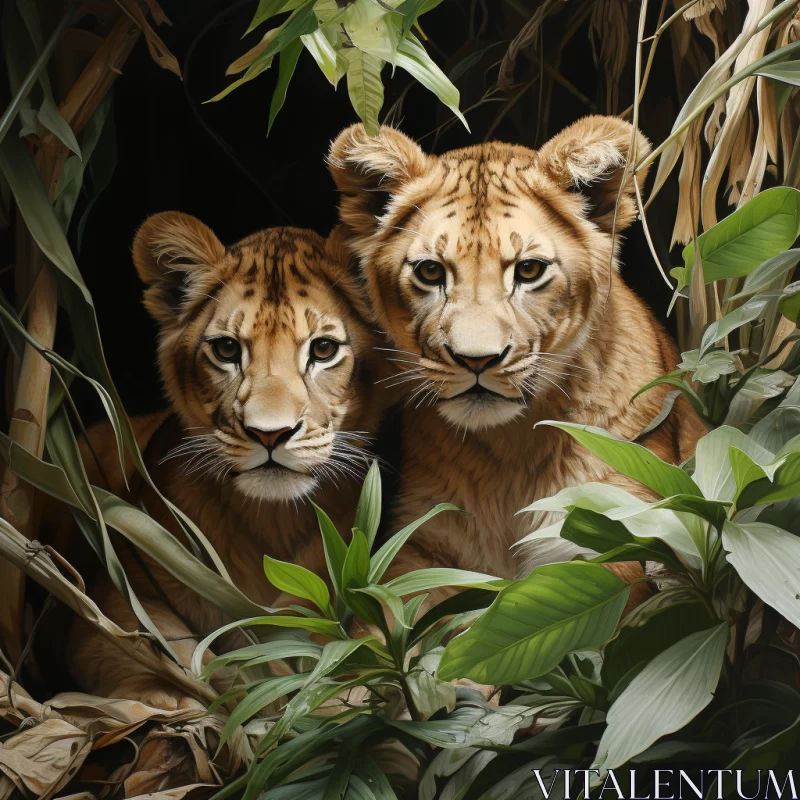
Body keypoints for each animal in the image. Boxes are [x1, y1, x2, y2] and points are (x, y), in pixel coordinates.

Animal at [69, 212, 388, 709]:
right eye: (225, 350)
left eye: (322, 350)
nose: (270, 434)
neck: (269, 519)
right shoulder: (119, 585)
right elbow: (145, 640)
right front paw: (168, 696)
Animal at [327, 115, 705, 596]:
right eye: (430, 271)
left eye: (528, 270)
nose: (476, 361)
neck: (510, 455)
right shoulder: (421, 552)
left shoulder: (617, 531)